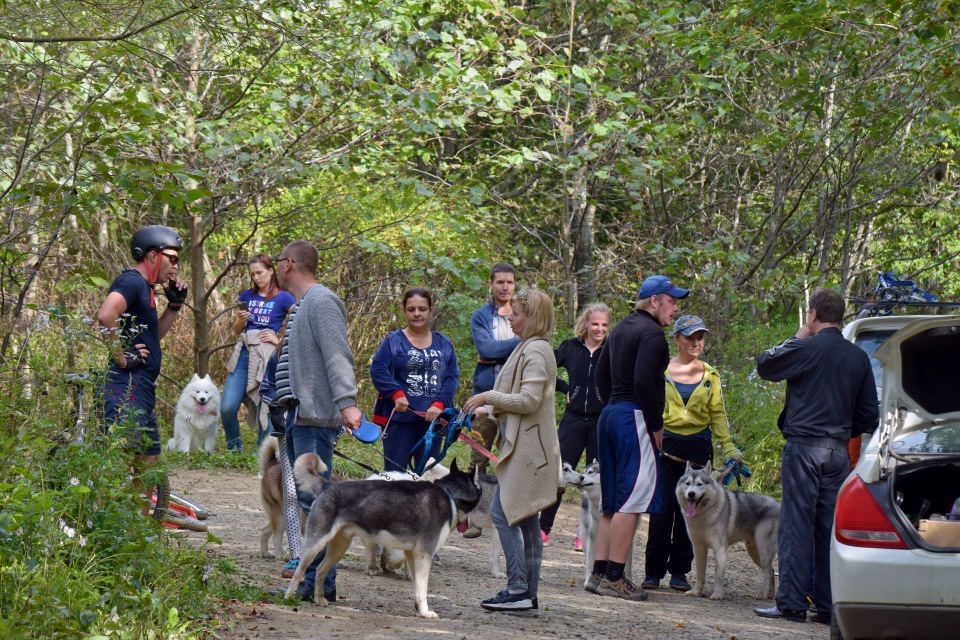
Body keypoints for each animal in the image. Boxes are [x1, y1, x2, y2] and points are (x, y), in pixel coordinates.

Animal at [284, 452, 480, 616]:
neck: (449, 495)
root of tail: (328, 485)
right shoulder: (424, 555)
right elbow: (423, 589)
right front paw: (425, 612)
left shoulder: (412, 555)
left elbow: (417, 587)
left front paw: (418, 608)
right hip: (315, 545)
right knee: (299, 572)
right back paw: (288, 599)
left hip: (339, 548)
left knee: (319, 569)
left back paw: (319, 599)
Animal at [676, 460, 780, 600]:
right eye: (687, 484)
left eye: (699, 484)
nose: (691, 494)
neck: (703, 514)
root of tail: (778, 504)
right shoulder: (698, 548)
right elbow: (700, 574)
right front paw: (696, 592)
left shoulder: (719, 549)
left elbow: (718, 576)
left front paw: (717, 595)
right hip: (753, 551)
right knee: (771, 570)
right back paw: (769, 595)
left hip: (763, 549)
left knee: (768, 571)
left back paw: (762, 594)